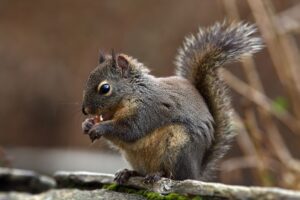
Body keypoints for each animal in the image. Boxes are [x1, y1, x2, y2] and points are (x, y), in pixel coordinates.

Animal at [81, 21, 262, 183]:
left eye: (105, 88)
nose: (85, 110)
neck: (131, 94)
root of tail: (196, 172)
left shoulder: (147, 109)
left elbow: (129, 130)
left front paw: (99, 127)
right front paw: (87, 124)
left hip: (178, 147)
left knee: (175, 176)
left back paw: (157, 175)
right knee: (142, 171)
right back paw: (128, 173)